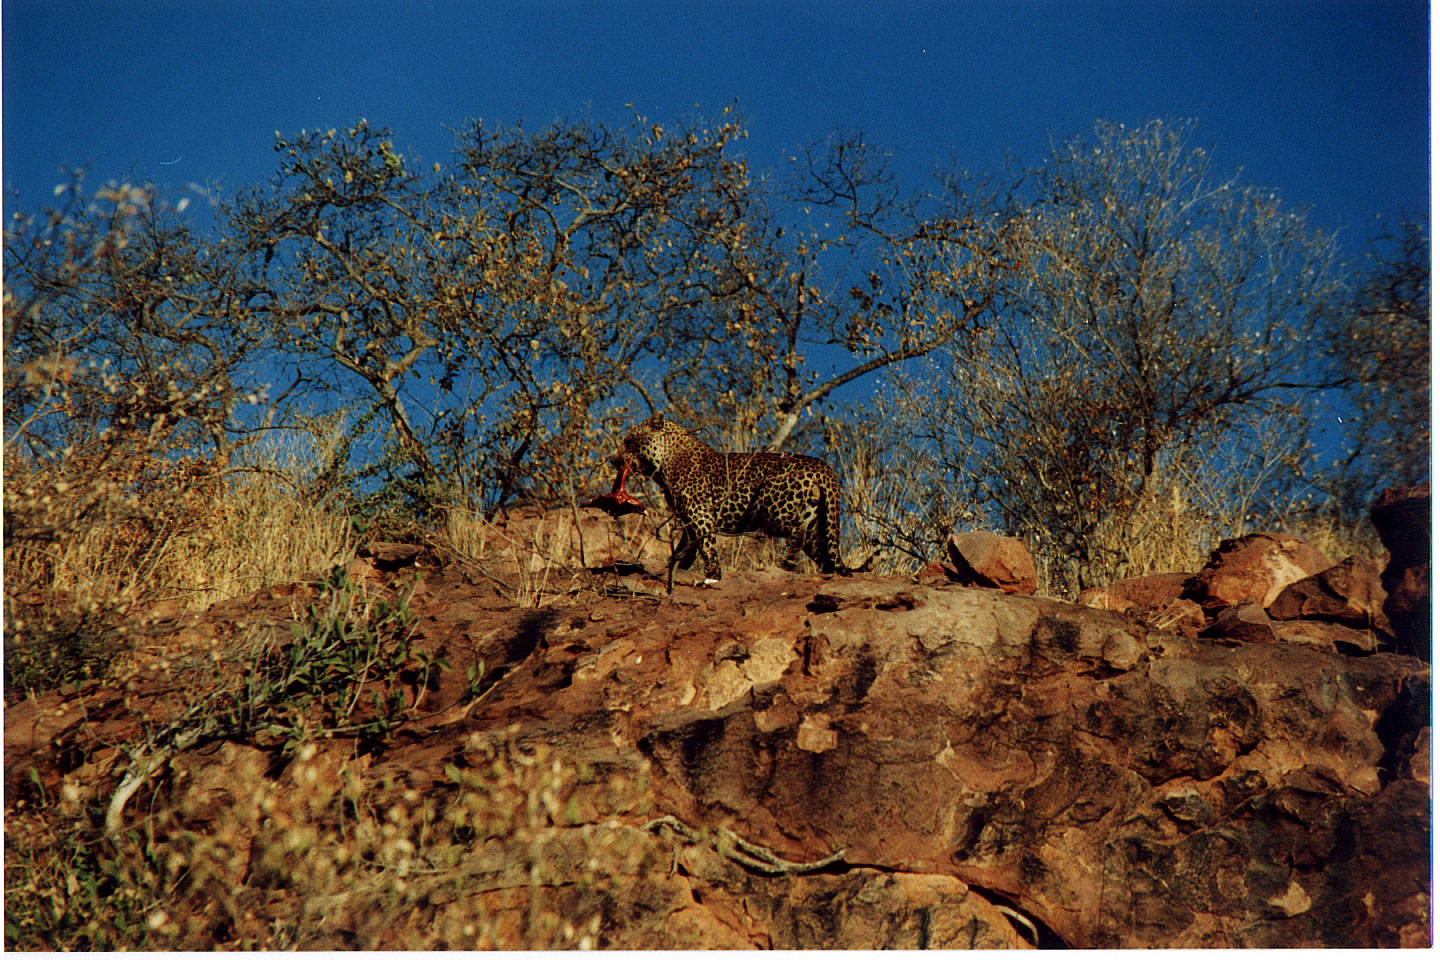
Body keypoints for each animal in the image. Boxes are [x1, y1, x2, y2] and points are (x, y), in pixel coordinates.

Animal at [610, 411, 840, 578]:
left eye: (629, 441)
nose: (613, 460)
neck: (663, 464)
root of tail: (822, 466)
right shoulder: (687, 519)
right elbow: (688, 545)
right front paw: (677, 565)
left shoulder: (699, 512)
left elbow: (706, 544)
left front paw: (712, 572)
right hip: (817, 521)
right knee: (822, 551)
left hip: (774, 509)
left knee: (797, 533)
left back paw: (785, 564)